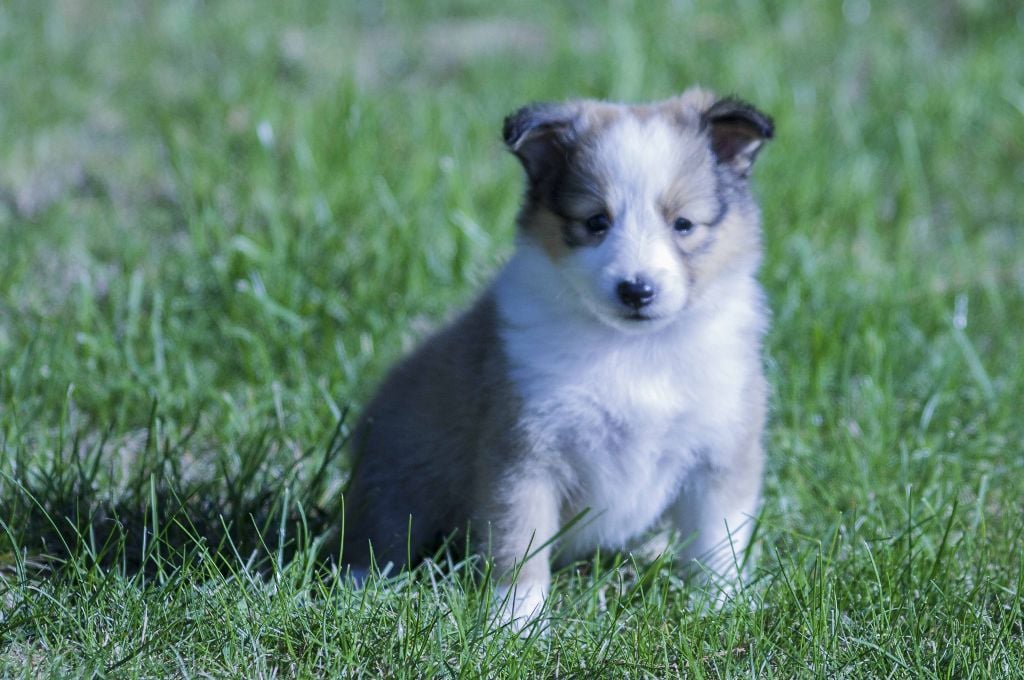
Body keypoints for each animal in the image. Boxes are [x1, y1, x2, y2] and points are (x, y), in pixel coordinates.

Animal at [339, 87, 770, 622]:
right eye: (595, 221)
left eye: (684, 224)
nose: (636, 290)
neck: (632, 347)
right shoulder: (523, 455)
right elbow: (517, 546)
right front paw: (515, 622)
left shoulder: (720, 452)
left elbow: (717, 543)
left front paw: (719, 608)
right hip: (398, 476)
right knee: (380, 535)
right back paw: (361, 583)